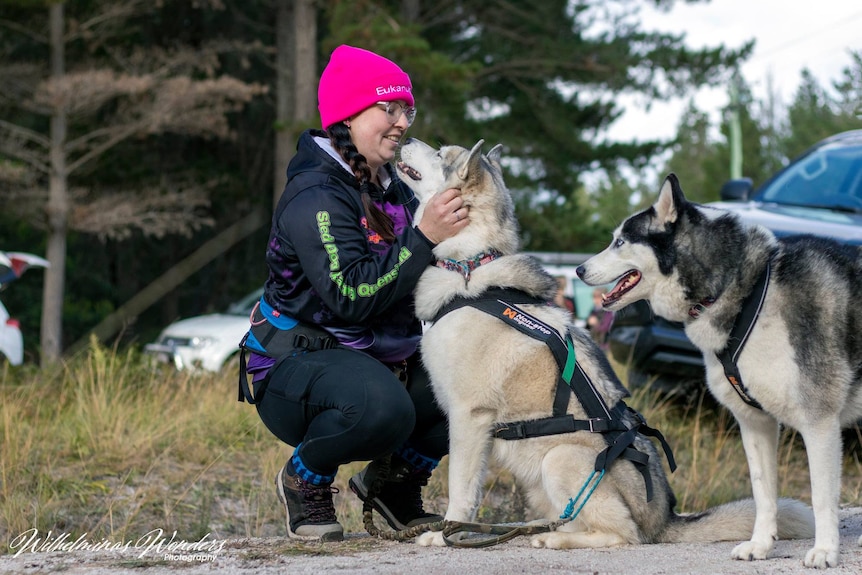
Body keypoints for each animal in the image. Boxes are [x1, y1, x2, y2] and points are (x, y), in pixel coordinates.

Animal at [394, 138, 812, 548]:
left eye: (440, 154)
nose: (407, 137)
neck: (470, 268)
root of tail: (665, 520)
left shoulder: (469, 417)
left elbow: (461, 490)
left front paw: (445, 533)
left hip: (560, 459)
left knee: (622, 535)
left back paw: (552, 541)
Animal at [572, 173, 862, 568]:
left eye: (620, 242)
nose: (578, 269)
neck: (747, 293)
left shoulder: (820, 423)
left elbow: (821, 496)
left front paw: (825, 550)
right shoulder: (755, 422)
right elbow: (763, 493)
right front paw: (760, 545)